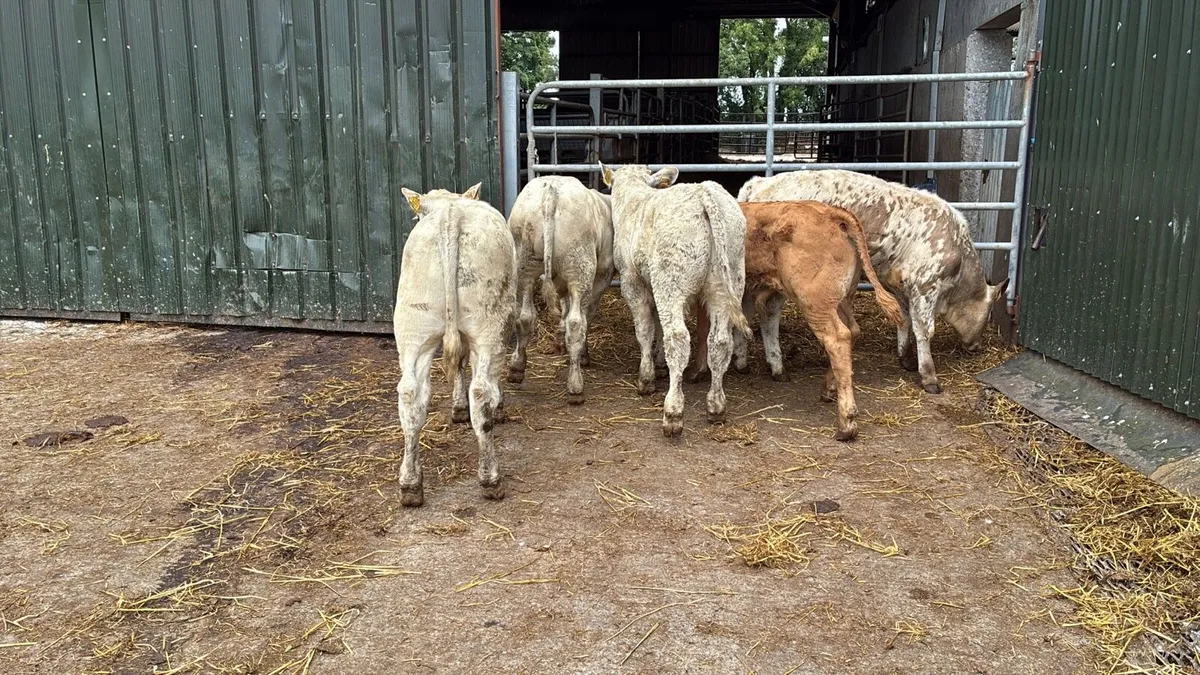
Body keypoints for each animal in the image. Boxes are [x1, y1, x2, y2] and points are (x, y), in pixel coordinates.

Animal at [393, 184, 517, 507]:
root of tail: (450, 217)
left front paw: (457, 407)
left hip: (413, 325)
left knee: (410, 395)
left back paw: (410, 485)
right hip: (490, 323)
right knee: (481, 391)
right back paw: (490, 478)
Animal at [507, 176, 614, 405]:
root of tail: (551, 192)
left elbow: (563, 308)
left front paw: (559, 340)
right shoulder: (602, 275)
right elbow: (585, 315)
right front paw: (583, 355)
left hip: (523, 262)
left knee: (525, 317)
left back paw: (517, 367)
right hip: (580, 269)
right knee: (577, 323)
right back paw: (575, 386)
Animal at [601, 163, 750, 437]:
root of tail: (703, 192)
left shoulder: (632, 281)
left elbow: (645, 329)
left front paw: (646, 376)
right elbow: (657, 327)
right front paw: (660, 365)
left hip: (671, 283)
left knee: (678, 339)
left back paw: (672, 412)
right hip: (728, 282)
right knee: (720, 341)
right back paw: (716, 406)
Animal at [693, 201, 904, 441]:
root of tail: (831, 213)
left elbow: (704, 333)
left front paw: (698, 371)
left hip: (815, 302)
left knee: (838, 338)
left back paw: (847, 422)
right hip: (841, 299)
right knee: (853, 330)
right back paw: (829, 388)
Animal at [738, 170, 1009, 393]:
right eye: (988, 315)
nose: (976, 347)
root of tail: (759, 183)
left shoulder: (898, 283)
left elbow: (904, 318)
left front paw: (905, 357)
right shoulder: (925, 285)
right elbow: (924, 329)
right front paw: (929, 376)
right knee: (770, 313)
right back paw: (776, 365)